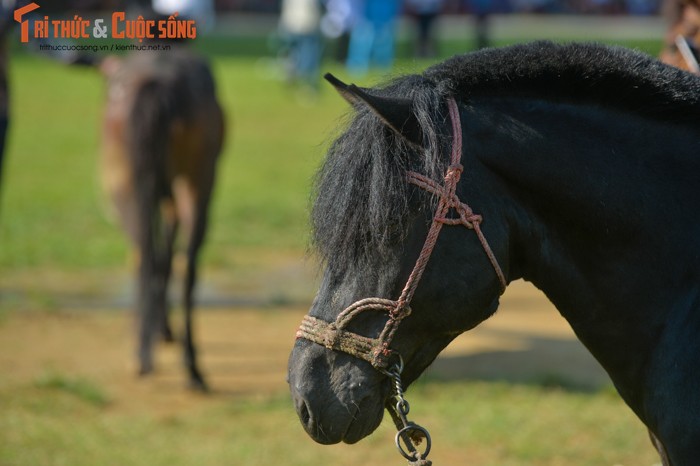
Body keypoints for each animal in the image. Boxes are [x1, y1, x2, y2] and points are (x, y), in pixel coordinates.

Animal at [98, 47, 223, 390]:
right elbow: (167, 256)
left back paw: (145, 353)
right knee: (183, 260)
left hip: (127, 180)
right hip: (194, 178)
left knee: (144, 252)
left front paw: (159, 329)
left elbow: (157, 255)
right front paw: (162, 330)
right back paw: (191, 367)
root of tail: (158, 85)